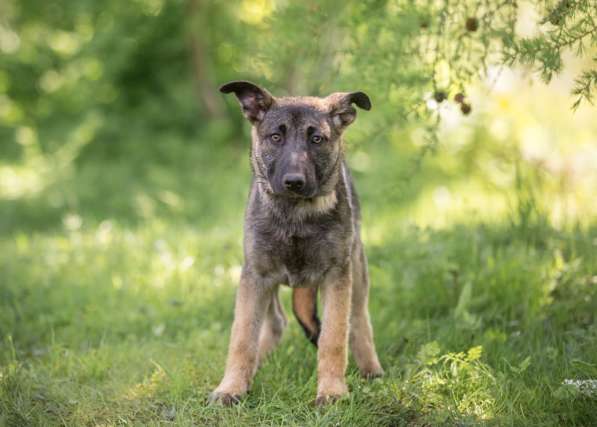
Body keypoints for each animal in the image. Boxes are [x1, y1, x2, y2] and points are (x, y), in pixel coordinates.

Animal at [212, 82, 384, 406]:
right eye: (275, 137)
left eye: (317, 139)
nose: (294, 182)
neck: (295, 214)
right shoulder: (256, 275)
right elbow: (242, 337)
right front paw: (231, 387)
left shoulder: (336, 276)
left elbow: (333, 337)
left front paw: (332, 391)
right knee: (276, 321)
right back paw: (258, 362)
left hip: (356, 267)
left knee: (358, 319)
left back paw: (371, 368)